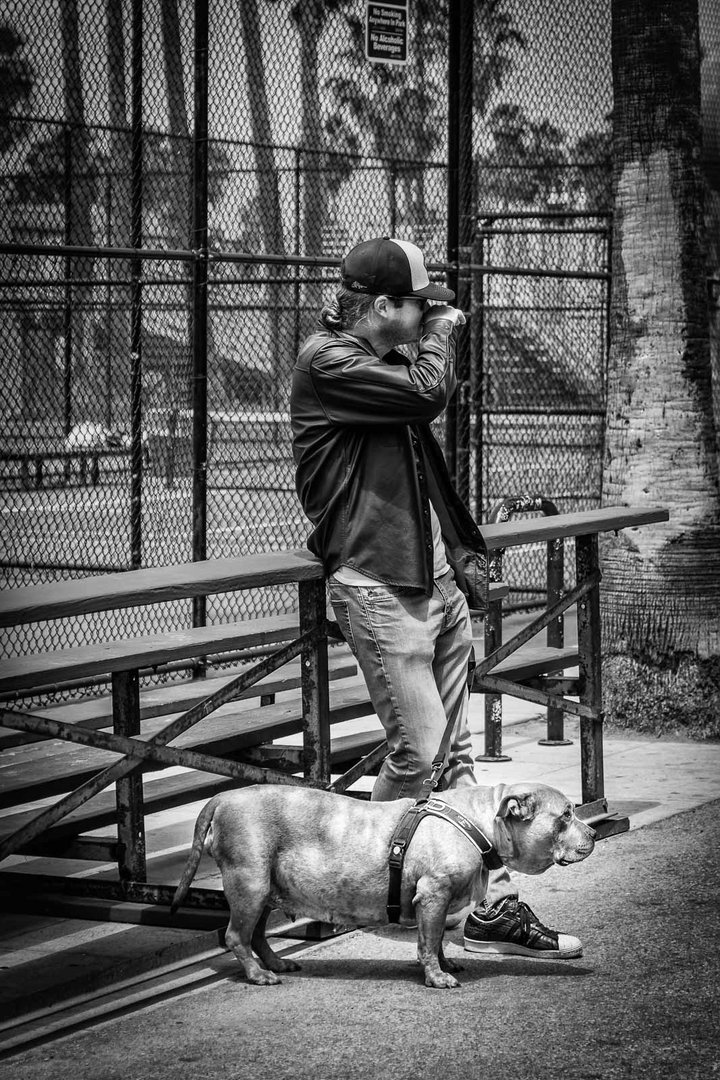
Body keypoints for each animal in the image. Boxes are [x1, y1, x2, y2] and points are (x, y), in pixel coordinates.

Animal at [171, 781, 595, 989]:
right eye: (566, 814)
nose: (592, 832)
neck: (480, 822)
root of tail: (223, 797)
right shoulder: (434, 895)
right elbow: (428, 942)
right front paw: (437, 977)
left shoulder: (436, 903)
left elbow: (436, 940)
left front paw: (444, 963)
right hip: (250, 883)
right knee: (237, 936)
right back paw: (258, 974)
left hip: (265, 889)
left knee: (257, 934)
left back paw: (275, 963)